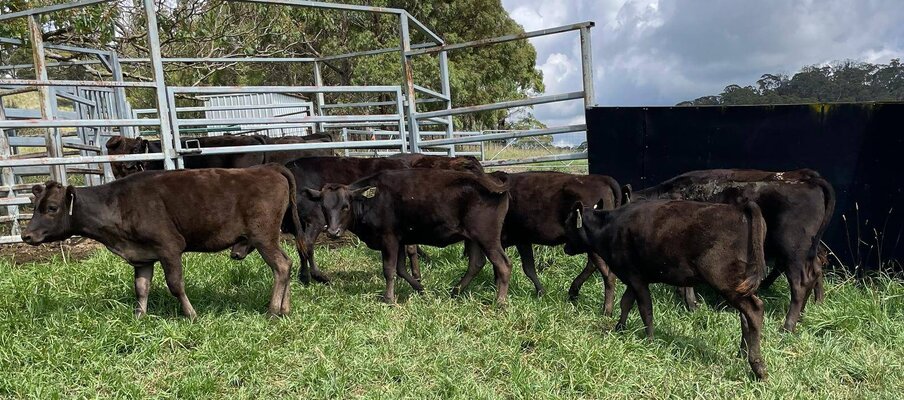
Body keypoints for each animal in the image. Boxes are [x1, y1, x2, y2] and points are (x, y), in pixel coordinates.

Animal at [18, 164, 304, 318]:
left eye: (52, 208)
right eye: (34, 206)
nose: (26, 235)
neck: (118, 204)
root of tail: (267, 168)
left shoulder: (169, 247)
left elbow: (175, 284)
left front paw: (191, 314)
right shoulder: (143, 257)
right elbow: (141, 287)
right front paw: (139, 316)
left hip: (263, 236)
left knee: (281, 266)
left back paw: (272, 310)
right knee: (287, 264)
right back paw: (285, 308)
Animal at [306, 169, 512, 304]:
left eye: (345, 206)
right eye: (324, 207)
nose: (333, 232)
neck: (373, 202)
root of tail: (491, 179)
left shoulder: (389, 239)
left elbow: (389, 270)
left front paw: (388, 299)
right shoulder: (400, 240)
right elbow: (401, 269)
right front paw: (422, 289)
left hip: (487, 237)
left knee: (503, 265)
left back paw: (499, 302)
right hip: (473, 238)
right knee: (476, 263)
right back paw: (455, 291)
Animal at [560, 200, 768, 382]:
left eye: (568, 224)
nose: (564, 247)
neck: (609, 227)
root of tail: (740, 208)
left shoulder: (635, 277)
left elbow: (645, 309)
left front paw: (650, 341)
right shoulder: (634, 277)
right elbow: (626, 302)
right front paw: (619, 328)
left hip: (724, 280)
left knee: (754, 310)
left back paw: (758, 367)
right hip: (740, 285)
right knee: (745, 317)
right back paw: (741, 353)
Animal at [620, 168, 832, 332]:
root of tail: (807, 178)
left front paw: (692, 304)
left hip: (793, 251)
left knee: (800, 284)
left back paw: (788, 326)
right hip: (806, 251)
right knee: (815, 271)